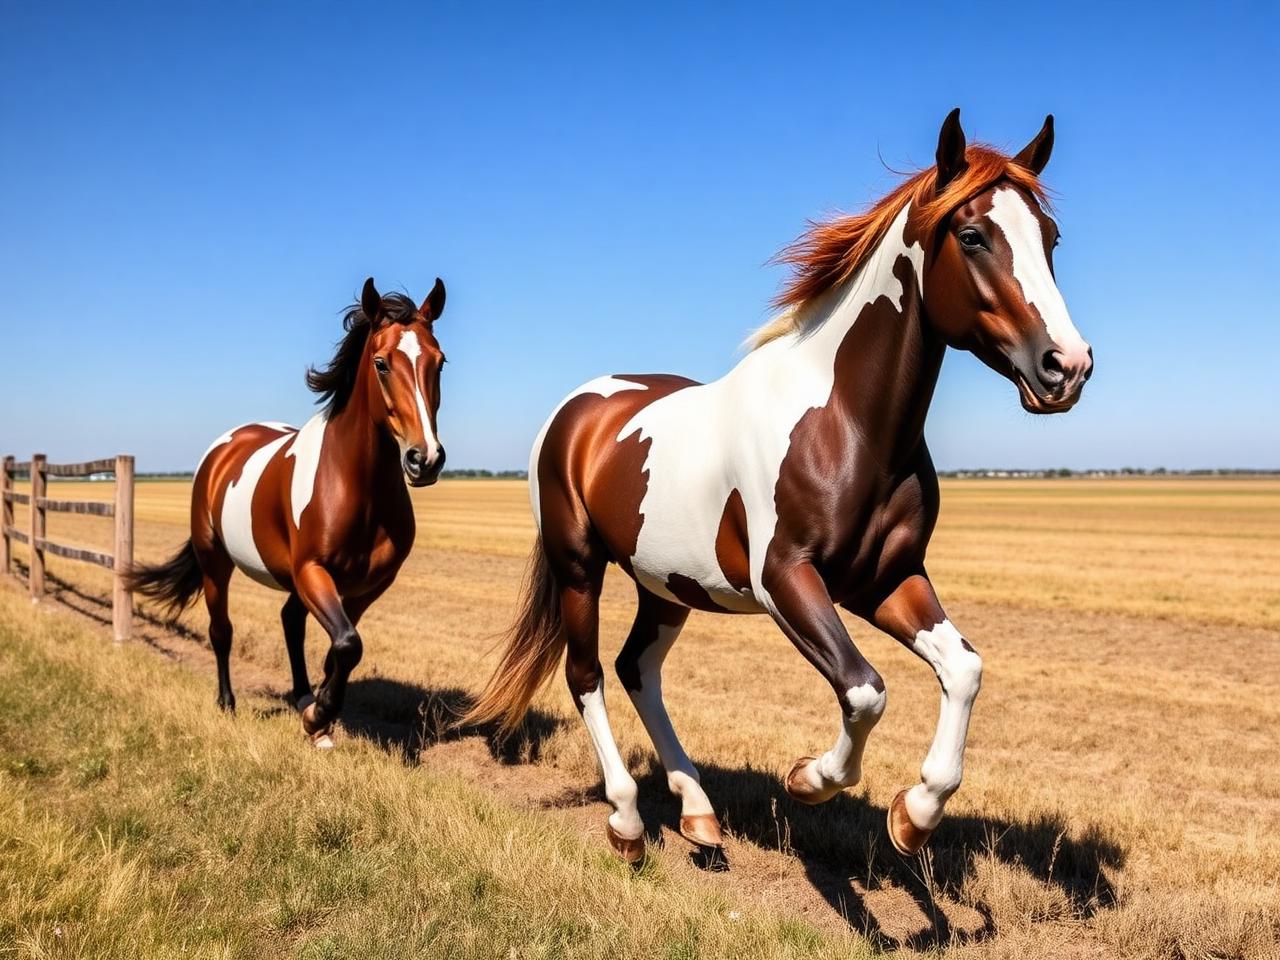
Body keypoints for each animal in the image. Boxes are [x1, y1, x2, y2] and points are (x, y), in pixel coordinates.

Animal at [126, 277, 449, 747]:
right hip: (215, 561)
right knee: (221, 630)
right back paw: (228, 703)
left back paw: (302, 698)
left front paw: (318, 716)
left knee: (290, 621)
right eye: (381, 363)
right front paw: (319, 718)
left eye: (439, 363)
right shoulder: (313, 570)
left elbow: (341, 650)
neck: (357, 487)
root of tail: (223, 448)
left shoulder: (368, 586)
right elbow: (348, 644)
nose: (425, 459)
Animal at [464, 110, 1092, 862]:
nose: (1067, 366)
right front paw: (809, 778)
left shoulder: (885, 580)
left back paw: (699, 813)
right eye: (972, 235)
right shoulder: (785, 580)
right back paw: (628, 820)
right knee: (587, 675)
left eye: (1050, 237)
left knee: (637, 669)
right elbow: (865, 690)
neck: (846, 424)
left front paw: (914, 814)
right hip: (579, 566)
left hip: (664, 586)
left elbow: (963, 669)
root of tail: (577, 411)